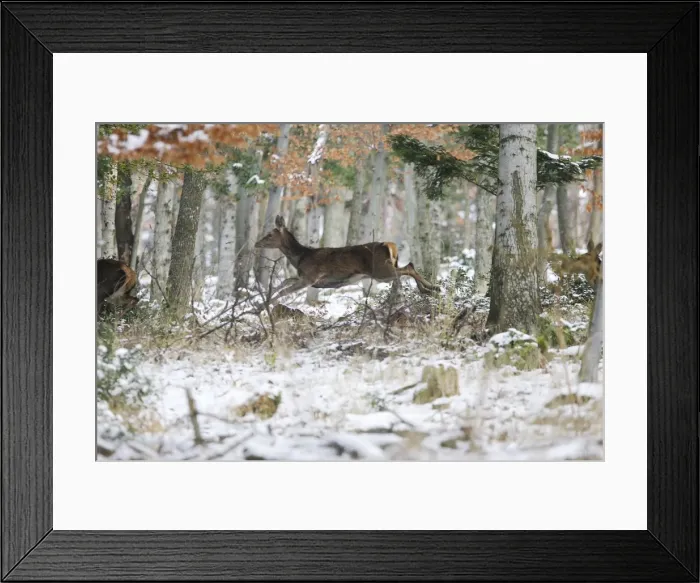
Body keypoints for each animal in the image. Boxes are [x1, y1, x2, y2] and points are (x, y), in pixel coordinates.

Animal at [254, 215, 439, 305]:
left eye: (269, 234)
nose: (256, 243)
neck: (300, 257)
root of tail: (390, 245)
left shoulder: (311, 277)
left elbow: (284, 290)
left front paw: (264, 306)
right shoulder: (306, 278)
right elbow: (283, 283)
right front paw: (264, 300)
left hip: (380, 271)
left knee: (409, 267)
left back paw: (430, 288)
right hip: (386, 269)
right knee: (407, 268)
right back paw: (429, 289)